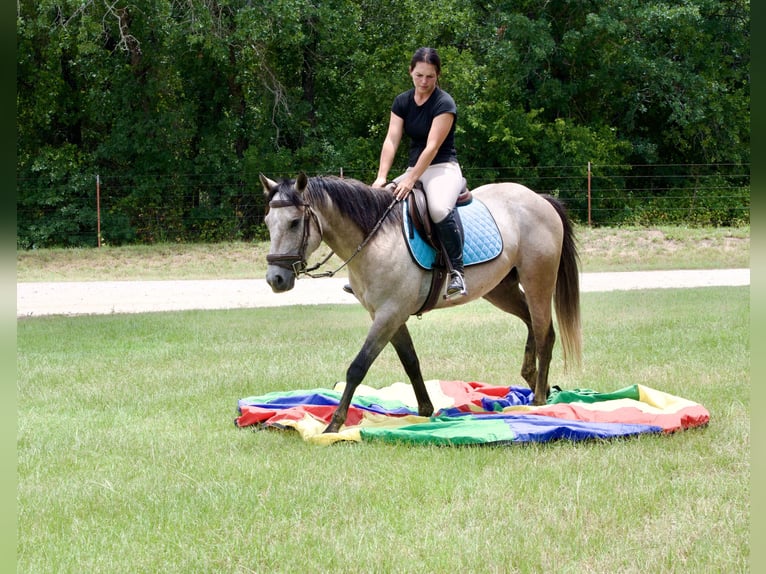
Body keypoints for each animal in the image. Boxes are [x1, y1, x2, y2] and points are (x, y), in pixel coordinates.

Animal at [260, 172, 582, 434]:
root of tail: (538, 199)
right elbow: (411, 361)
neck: (376, 238)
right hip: (502, 289)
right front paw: (426, 410)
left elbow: (358, 366)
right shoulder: (389, 316)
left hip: (538, 281)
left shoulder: (388, 315)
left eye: (294, 222)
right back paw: (533, 381)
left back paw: (538, 400)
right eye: (268, 223)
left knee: (544, 332)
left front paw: (334, 424)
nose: (276, 279)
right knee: (530, 322)